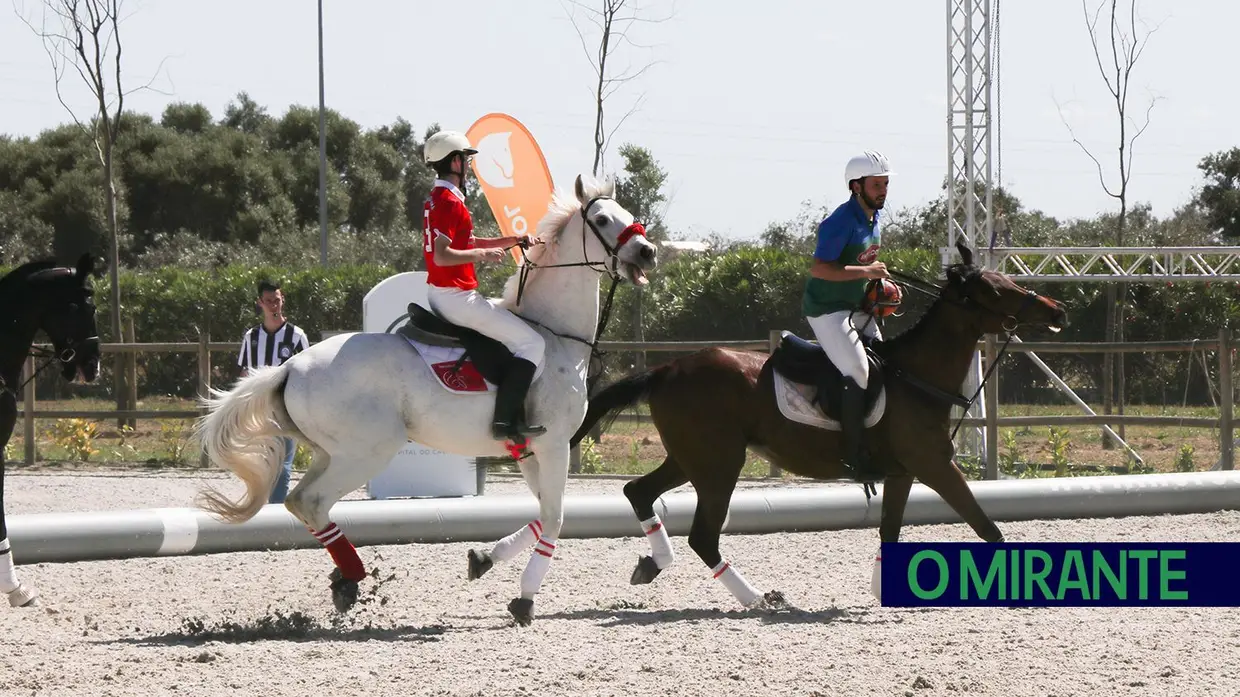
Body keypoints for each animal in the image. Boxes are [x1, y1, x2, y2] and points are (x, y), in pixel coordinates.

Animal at [190, 173, 659, 625]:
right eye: (602, 220)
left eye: (626, 213)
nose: (648, 251)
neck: (555, 335)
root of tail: (290, 366)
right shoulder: (553, 444)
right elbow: (557, 517)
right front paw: (524, 600)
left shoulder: (528, 450)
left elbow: (544, 512)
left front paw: (483, 559)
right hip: (366, 452)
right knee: (310, 501)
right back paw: (353, 578)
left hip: (331, 452)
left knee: (299, 502)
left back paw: (344, 579)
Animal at [567, 241, 1066, 605]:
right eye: (996, 289)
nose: (1057, 309)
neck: (917, 376)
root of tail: (667, 369)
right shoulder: (935, 466)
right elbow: (987, 527)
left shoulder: (904, 473)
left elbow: (890, 530)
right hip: (718, 465)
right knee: (702, 536)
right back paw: (756, 599)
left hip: (693, 458)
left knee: (639, 492)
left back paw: (654, 564)